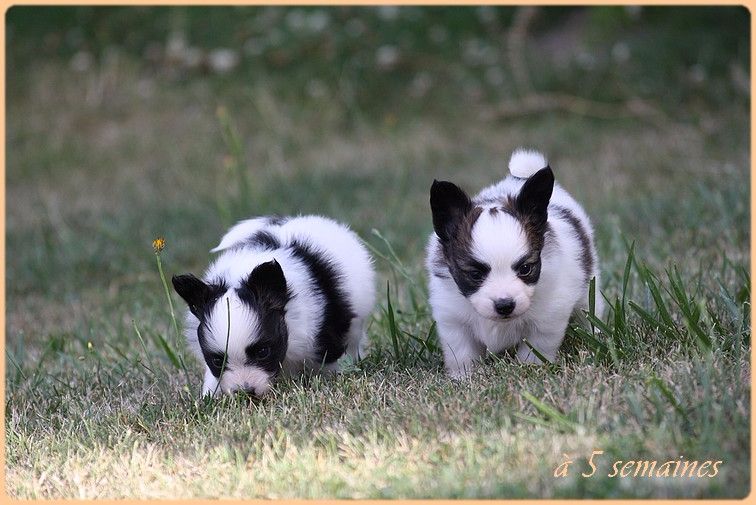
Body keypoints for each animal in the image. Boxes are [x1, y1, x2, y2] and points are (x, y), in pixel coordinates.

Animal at [426, 150, 604, 378]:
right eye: (475, 274)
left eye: (525, 269)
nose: (504, 305)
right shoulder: (453, 319)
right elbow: (462, 352)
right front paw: (464, 377)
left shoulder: (548, 317)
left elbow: (535, 347)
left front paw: (529, 370)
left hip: (587, 287)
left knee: (589, 310)